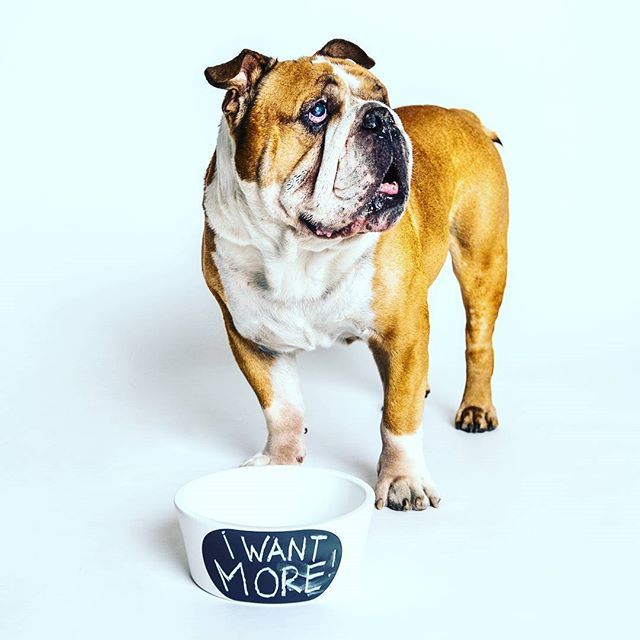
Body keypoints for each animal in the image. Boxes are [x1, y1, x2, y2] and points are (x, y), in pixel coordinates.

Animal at [202, 38, 508, 510]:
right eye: (318, 111)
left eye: (382, 96)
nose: (381, 117)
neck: (298, 248)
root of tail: (464, 115)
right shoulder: (251, 339)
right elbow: (280, 407)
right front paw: (279, 463)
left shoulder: (403, 329)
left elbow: (398, 420)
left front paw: (402, 480)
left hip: (482, 263)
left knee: (478, 344)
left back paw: (475, 408)